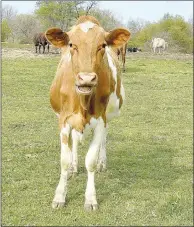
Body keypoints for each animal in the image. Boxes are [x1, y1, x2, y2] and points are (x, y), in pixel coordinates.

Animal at [45, 15, 130, 211]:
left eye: (102, 45)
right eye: (71, 44)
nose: (86, 79)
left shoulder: (100, 120)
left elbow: (90, 160)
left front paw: (90, 198)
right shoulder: (64, 121)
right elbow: (64, 159)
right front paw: (60, 195)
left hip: (108, 117)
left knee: (104, 139)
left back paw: (102, 163)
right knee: (75, 142)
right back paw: (74, 168)